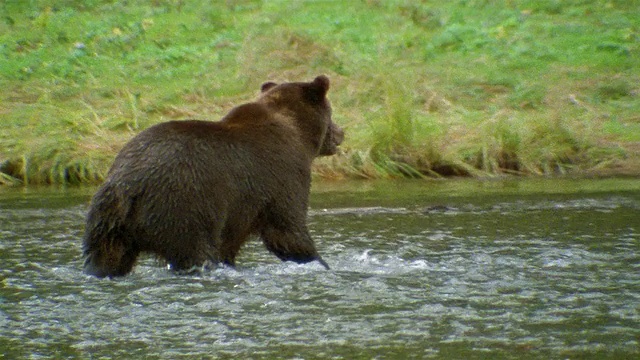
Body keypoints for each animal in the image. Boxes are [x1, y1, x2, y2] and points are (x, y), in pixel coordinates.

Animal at [85, 75, 348, 278]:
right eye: (331, 112)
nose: (341, 132)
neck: (298, 133)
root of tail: (127, 187)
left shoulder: (239, 208)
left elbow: (230, 243)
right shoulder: (282, 174)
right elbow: (288, 230)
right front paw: (320, 262)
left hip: (106, 222)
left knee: (106, 257)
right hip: (182, 203)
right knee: (195, 250)